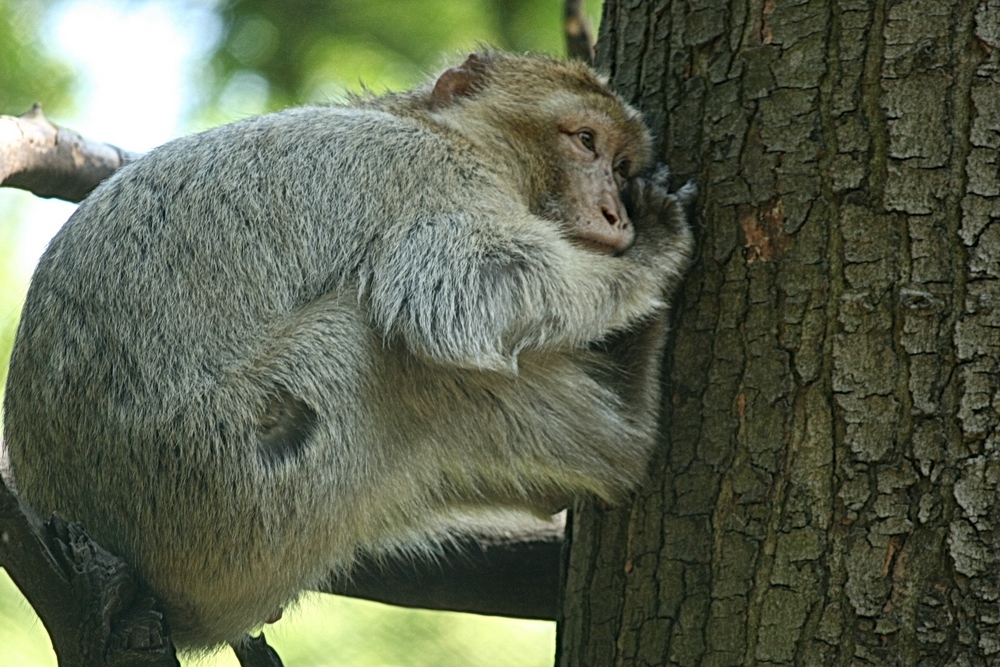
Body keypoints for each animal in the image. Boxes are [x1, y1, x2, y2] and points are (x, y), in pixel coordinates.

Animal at [5, 51, 696, 648]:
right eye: (586, 142)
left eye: (623, 167)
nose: (615, 215)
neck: (450, 134)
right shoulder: (438, 181)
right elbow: (450, 297)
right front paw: (652, 257)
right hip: (230, 484)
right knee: (380, 343)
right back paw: (628, 435)